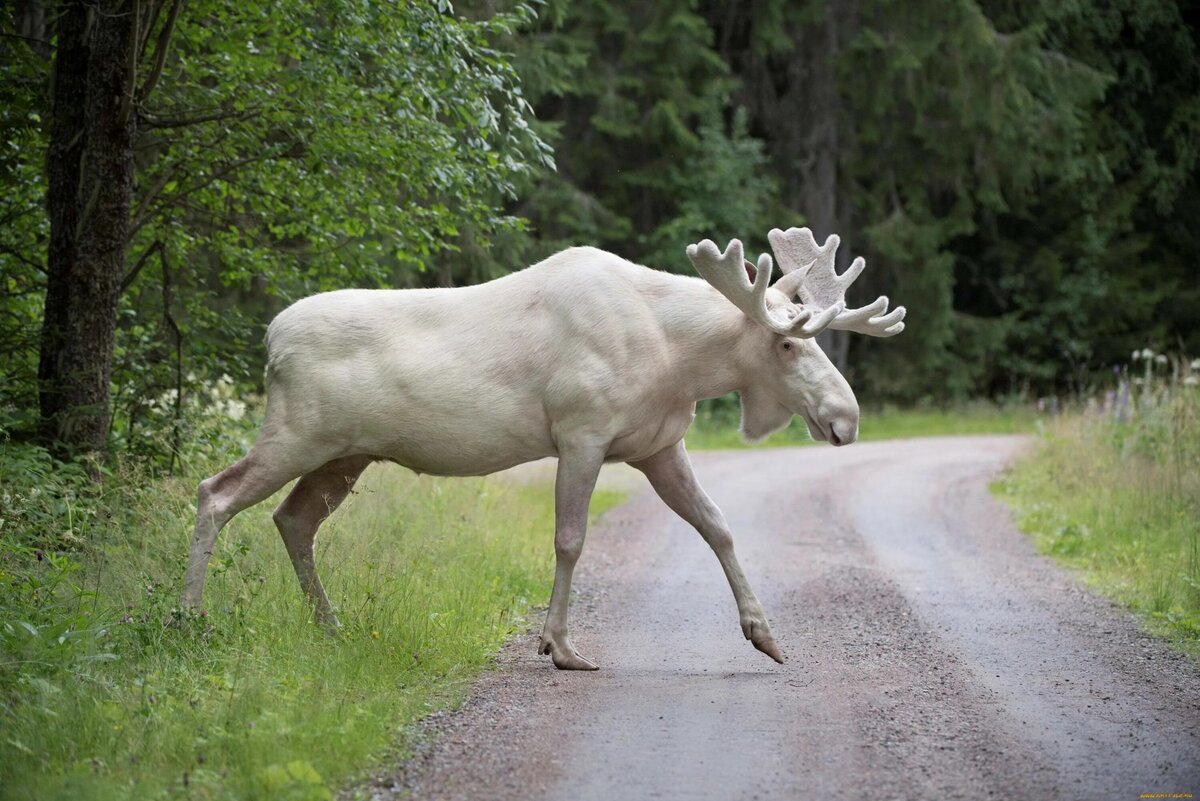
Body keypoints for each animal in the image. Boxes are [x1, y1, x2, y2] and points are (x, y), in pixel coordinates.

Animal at [182, 227, 902, 671]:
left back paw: (330, 626)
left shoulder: (658, 444)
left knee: (292, 518)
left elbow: (718, 526)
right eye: (786, 342)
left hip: (345, 453)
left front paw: (765, 634)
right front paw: (559, 645)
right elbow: (570, 538)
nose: (846, 418)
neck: (678, 359)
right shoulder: (582, 431)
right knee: (215, 492)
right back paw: (187, 618)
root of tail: (270, 340)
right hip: (298, 432)